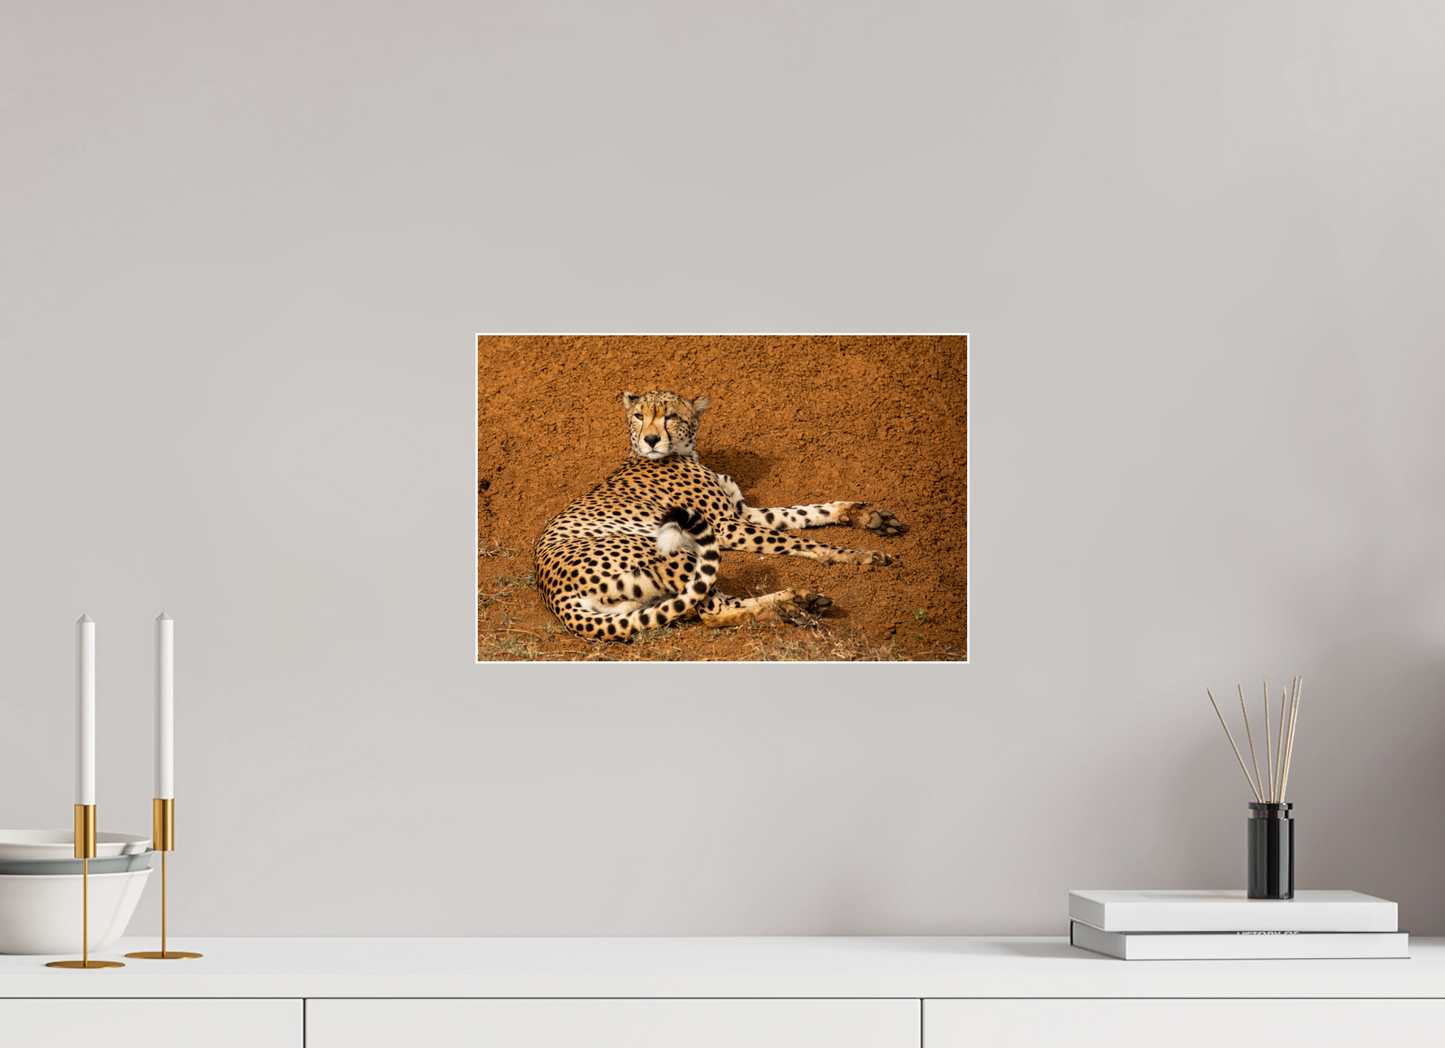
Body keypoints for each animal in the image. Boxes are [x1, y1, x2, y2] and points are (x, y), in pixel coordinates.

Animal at [533, 390, 906, 641]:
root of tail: (553, 595)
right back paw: (788, 607)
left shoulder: (744, 513)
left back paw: (797, 600)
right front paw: (857, 555)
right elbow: (800, 539)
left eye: (670, 416)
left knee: (711, 603)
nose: (651, 439)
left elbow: (804, 513)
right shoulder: (725, 526)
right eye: (639, 416)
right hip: (667, 550)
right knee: (713, 610)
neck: (683, 452)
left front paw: (867, 515)